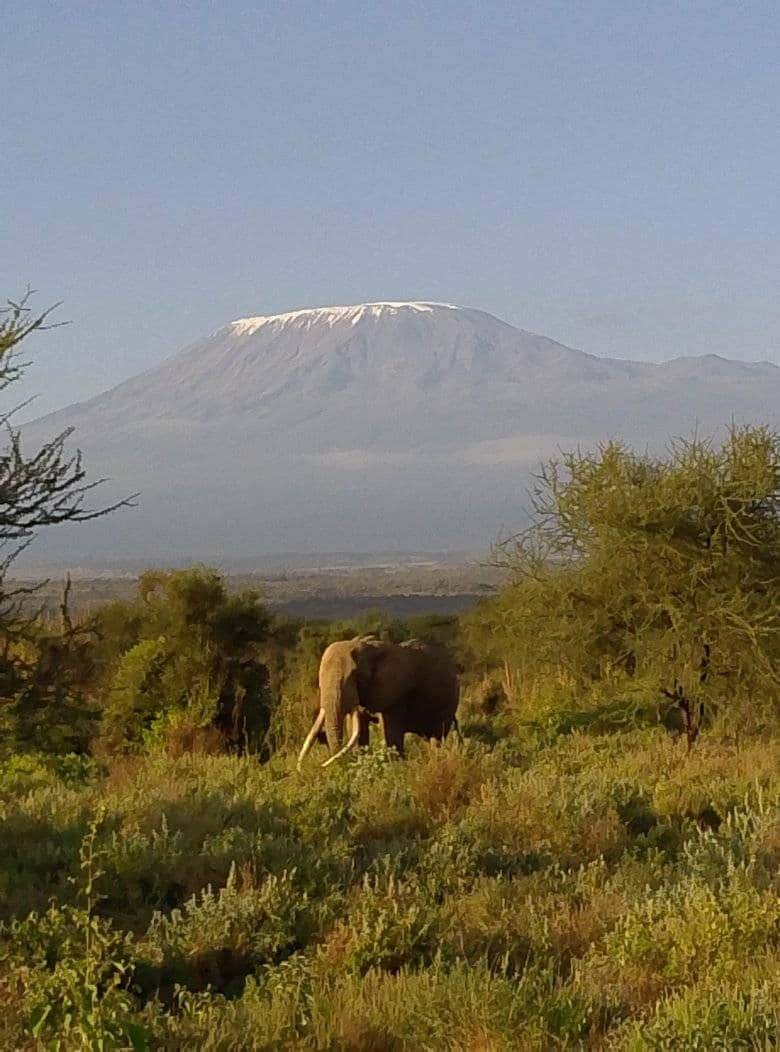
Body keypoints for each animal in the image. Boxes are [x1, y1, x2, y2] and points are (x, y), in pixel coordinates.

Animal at [297, 636, 459, 768]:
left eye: (356, 676)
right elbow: (358, 728)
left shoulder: (395, 692)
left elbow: (391, 732)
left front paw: (396, 770)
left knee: (437, 736)